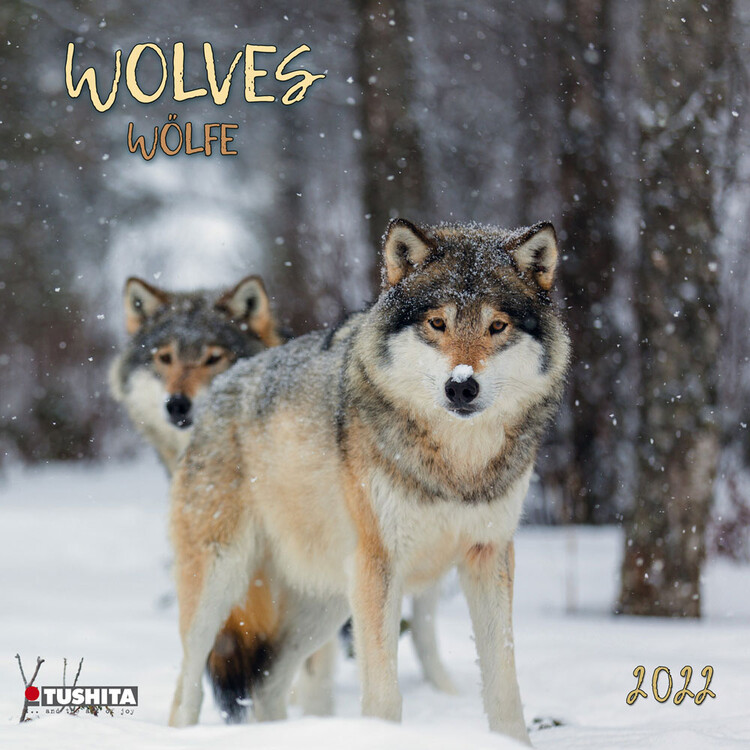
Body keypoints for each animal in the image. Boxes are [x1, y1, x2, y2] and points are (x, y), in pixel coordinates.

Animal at [168, 218, 570, 743]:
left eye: (496, 326)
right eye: (437, 324)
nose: (461, 386)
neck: (456, 467)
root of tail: (220, 386)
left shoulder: (489, 555)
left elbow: (504, 688)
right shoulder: (381, 566)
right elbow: (383, 696)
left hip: (326, 605)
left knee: (268, 686)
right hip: (221, 583)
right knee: (187, 688)